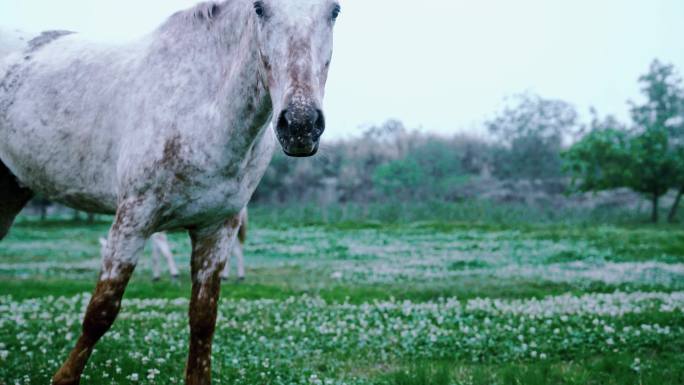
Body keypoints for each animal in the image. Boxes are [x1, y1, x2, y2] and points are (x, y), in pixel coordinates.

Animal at [0, 1, 340, 382]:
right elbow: (100, 311)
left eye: (335, 10)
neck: (201, 108)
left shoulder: (217, 229)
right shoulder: (132, 220)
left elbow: (203, 318)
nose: (300, 125)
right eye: (259, 8)